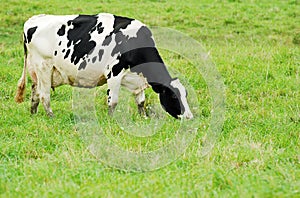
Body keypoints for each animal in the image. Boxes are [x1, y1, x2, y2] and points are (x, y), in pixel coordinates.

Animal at [15, 13, 195, 119]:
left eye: (185, 94)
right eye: (173, 96)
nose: (189, 117)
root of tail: (33, 19)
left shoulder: (137, 78)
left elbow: (141, 101)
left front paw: (143, 118)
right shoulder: (114, 72)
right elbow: (113, 101)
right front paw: (110, 120)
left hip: (39, 71)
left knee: (35, 92)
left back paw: (33, 114)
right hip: (44, 66)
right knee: (44, 94)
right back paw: (51, 116)